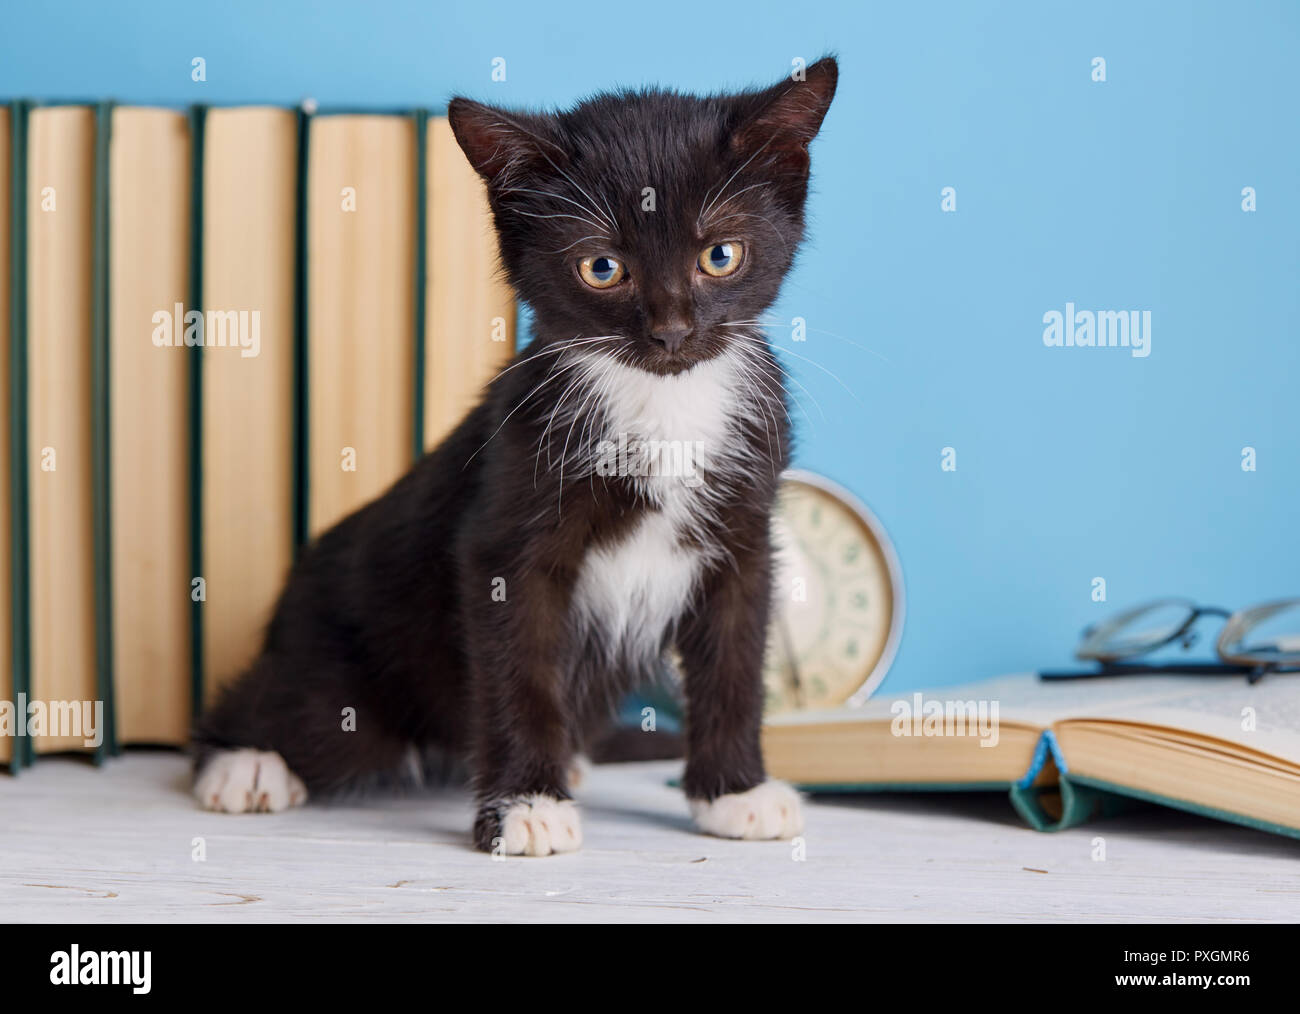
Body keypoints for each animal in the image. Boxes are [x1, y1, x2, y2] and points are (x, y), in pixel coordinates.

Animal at [195, 57, 842, 857]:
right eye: (602, 267)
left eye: (720, 255)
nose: (671, 332)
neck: (661, 403)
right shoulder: (506, 533)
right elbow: (518, 671)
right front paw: (527, 805)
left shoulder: (745, 535)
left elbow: (735, 659)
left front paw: (736, 793)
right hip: (342, 682)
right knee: (282, 709)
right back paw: (245, 764)